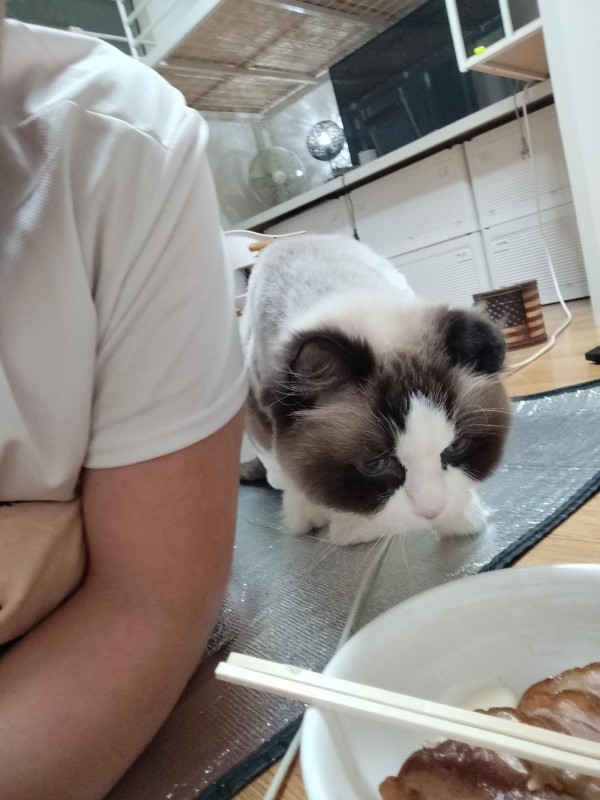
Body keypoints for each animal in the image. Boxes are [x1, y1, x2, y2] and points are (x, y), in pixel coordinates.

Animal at [239, 233, 511, 545]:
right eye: (374, 466)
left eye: (456, 447)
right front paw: (350, 526)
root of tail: (286, 240)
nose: (432, 511)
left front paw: (460, 517)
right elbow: (298, 478)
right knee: (278, 474)